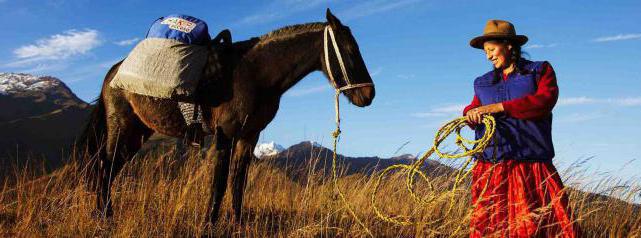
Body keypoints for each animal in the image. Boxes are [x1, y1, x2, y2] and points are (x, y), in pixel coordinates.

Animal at [78, 9, 376, 225]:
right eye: (350, 51)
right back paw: (105, 217)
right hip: (122, 127)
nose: (369, 95)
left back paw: (104, 214)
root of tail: (114, 72)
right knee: (105, 166)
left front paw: (237, 222)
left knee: (112, 168)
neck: (255, 74)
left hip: (138, 132)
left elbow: (238, 182)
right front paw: (210, 224)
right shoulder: (226, 135)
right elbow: (219, 184)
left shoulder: (249, 137)